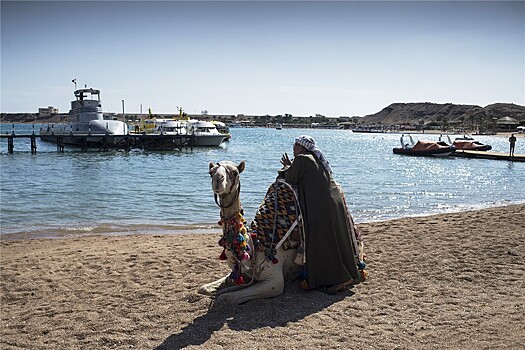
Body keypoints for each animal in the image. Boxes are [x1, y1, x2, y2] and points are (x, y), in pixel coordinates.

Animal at [199, 161, 302, 304]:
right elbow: (203, 288)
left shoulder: (274, 282)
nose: (218, 179)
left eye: (235, 172)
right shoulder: (239, 273)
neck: (254, 245)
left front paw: (222, 294)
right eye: (211, 172)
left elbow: (225, 298)